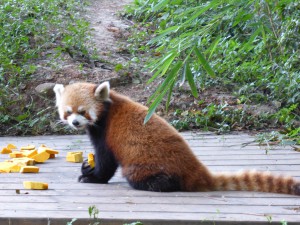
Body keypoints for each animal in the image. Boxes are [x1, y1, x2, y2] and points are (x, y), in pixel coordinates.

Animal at [54, 81, 300, 194]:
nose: (75, 123)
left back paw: (158, 184)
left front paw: (93, 177)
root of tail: (196, 168)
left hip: (147, 165)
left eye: (83, 112)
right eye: (68, 112)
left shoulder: (106, 132)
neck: (106, 109)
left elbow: (107, 161)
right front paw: (87, 167)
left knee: (142, 176)